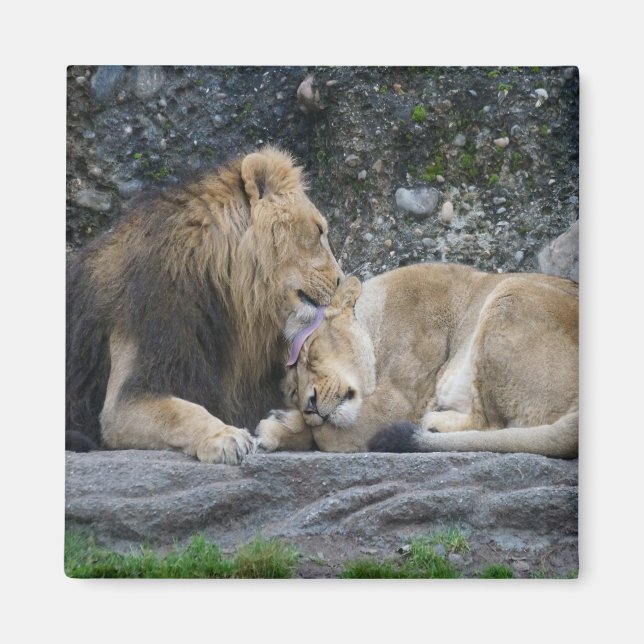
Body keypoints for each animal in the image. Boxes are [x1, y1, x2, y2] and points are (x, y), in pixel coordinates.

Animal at [66, 146, 343, 464]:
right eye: (319, 231)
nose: (341, 281)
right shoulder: (128, 396)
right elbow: (181, 413)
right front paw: (225, 437)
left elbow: (311, 424)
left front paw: (279, 425)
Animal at [256, 262, 578, 458]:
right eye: (294, 390)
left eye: (310, 354)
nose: (309, 406)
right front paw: (280, 426)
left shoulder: (397, 404)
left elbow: (325, 435)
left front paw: (283, 424)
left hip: (509, 293)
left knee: (491, 425)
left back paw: (432, 423)